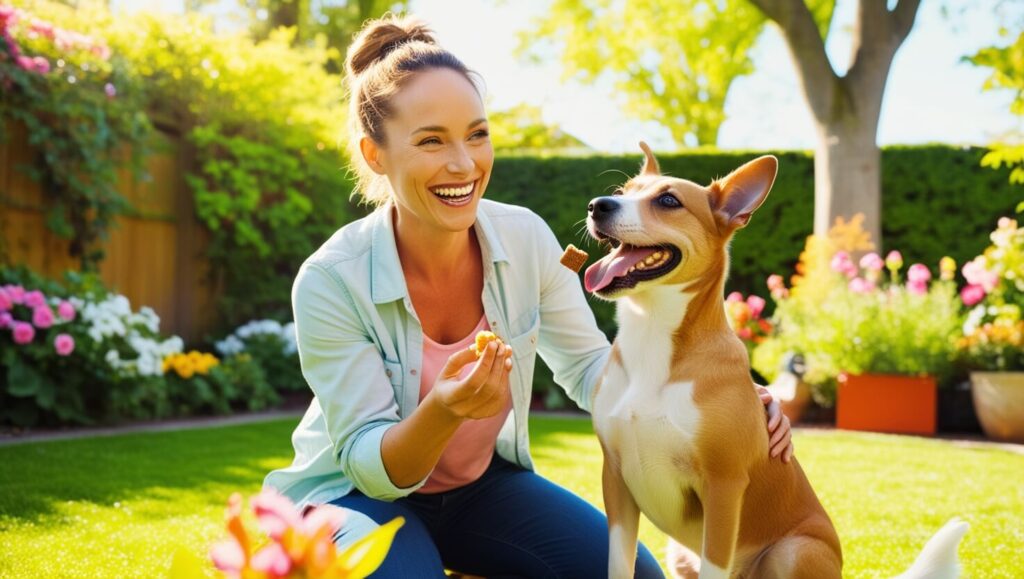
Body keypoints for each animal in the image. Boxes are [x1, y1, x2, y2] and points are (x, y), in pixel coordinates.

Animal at [585, 144, 966, 577]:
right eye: (624, 191)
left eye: (668, 201)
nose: (598, 205)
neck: (652, 337)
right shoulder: (615, 480)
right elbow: (619, 563)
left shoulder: (723, 487)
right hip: (679, 553)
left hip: (793, 550)